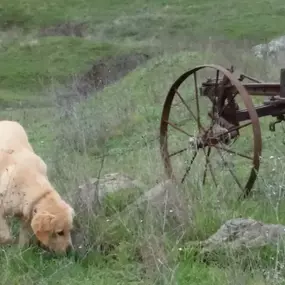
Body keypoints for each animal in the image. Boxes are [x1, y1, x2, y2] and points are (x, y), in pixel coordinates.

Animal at [0, 120, 74, 253]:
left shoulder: (26, 214)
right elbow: (5, 236)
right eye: (59, 232)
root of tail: (7, 120)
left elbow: (24, 237)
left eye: (69, 230)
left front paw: (21, 251)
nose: (69, 251)